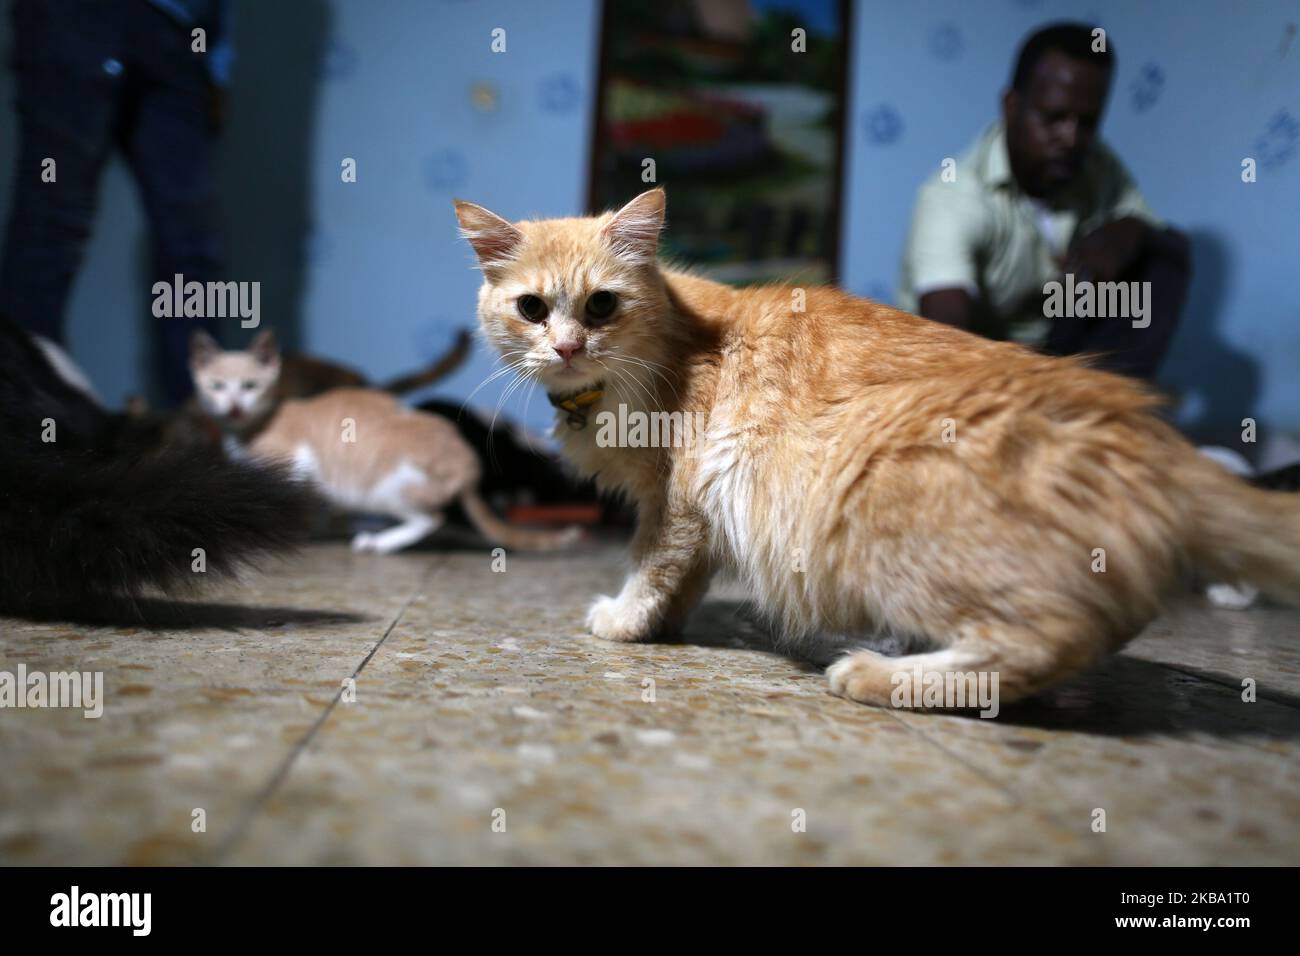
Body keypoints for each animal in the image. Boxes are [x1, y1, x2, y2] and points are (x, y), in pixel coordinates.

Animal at [454, 188, 1300, 712]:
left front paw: (625, 621)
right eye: (532, 309)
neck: (673, 341)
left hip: (873, 493)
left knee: (1044, 642)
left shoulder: (678, 496)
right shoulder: (701, 513)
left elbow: (650, 567)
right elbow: (683, 580)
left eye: (601, 305)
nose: (567, 348)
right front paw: (661, 626)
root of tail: (1148, 435)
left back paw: (874, 673)